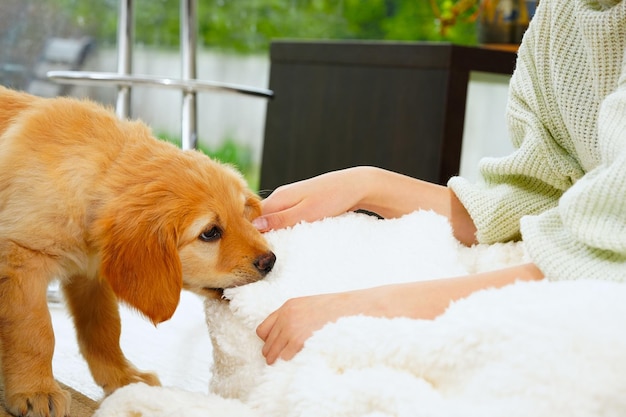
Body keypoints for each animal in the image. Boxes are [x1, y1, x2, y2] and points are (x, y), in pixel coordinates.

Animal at [0, 85, 274, 416]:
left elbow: (104, 329)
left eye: (244, 215)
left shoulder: (90, 275)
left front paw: (122, 377)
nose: (270, 261)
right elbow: (35, 332)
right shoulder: (22, 259)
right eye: (210, 232)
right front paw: (35, 390)